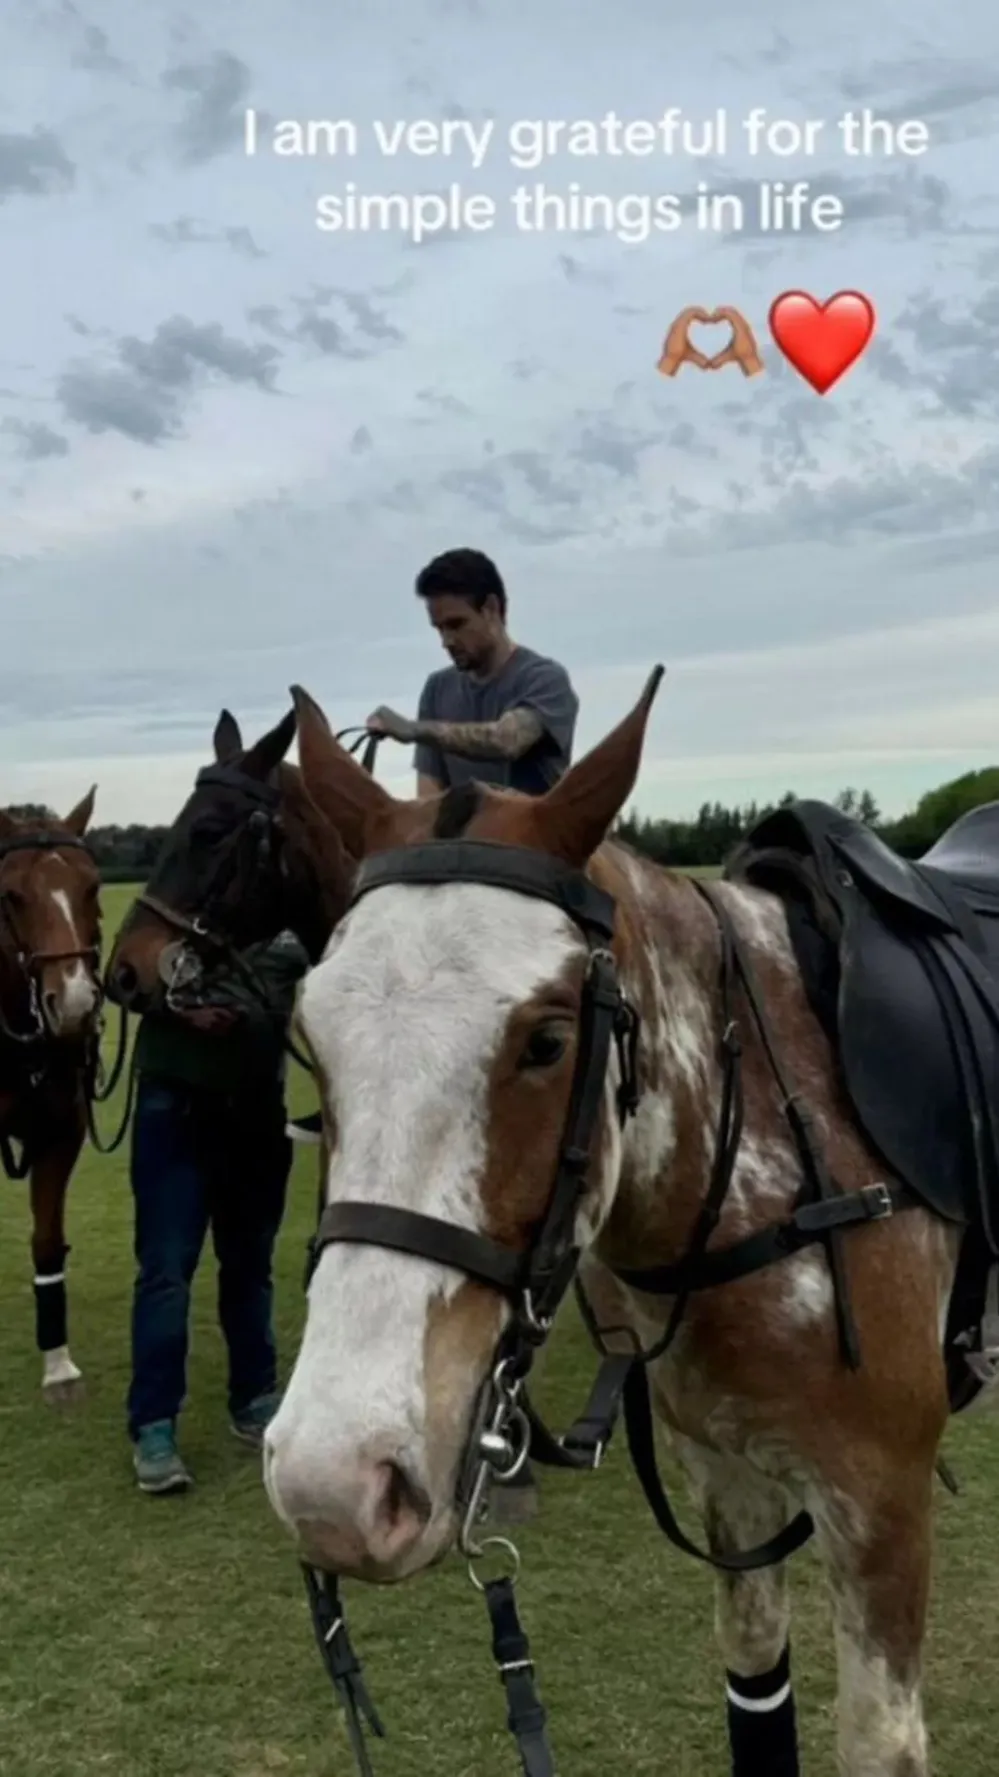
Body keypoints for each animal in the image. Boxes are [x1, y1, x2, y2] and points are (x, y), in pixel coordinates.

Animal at [262, 670, 999, 1777]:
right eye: (310, 1034)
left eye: (547, 1039)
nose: (333, 1484)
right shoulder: (729, 1476)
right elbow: (754, 1682)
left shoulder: (882, 1503)